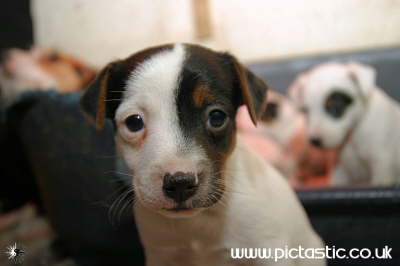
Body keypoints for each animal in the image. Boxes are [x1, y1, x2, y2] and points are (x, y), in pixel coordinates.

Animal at [80, 42, 324, 264]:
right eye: (133, 123)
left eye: (217, 117)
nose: (180, 183)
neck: (198, 222)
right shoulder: (162, 255)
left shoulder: (268, 250)